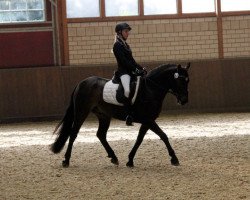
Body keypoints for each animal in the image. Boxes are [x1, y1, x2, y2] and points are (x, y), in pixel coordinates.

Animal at [51, 62, 191, 167]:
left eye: (188, 81)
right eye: (180, 81)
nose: (184, 100)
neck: (150, 89)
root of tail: (81, 83)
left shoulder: (147, 121)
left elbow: (139, 139)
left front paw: (130, 160)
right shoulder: (148, 120)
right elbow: (163, 136)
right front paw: (174, 158)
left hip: (103, 115)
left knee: (101, 135)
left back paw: (113, 157)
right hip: (81, 112)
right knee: (73, 133)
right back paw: (66, 160)